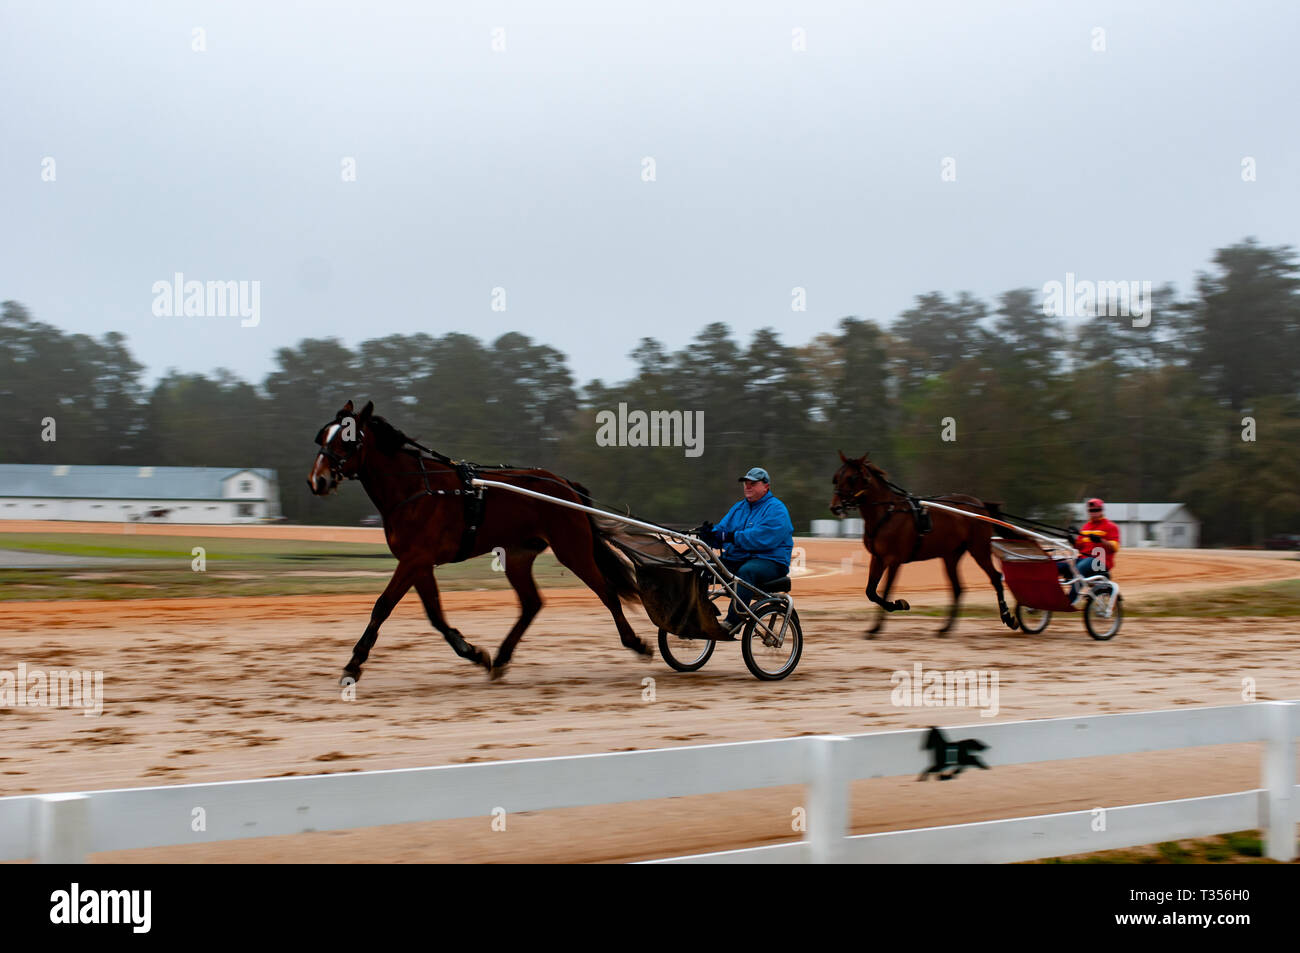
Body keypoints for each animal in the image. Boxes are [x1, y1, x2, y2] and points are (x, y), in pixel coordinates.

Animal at [304, 397, 650, 681]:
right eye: (323, 437)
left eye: (348, 439)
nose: (317, 480)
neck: (415, 489)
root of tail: (565, 484)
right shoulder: (419, 563)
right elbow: (435, 615)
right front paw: (473, 652)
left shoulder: (415, 559)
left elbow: (383, 605)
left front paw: (353, 664)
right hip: (518, 554)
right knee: (531, 603)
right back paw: (502, 657)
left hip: (572, 548)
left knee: (606, 591)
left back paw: (636, 643)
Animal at [826, 452, 1019, 634]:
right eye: (836, 477)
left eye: (852, 478)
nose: (836, 507)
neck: (887, 513)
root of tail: (980, 504)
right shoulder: (878, 558)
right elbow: (871, 592)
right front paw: (888, 613)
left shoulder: (894, 560)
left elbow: (886, 589)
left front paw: (883, 621)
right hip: (951, 555)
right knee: (958, 588)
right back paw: (945, 628)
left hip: (979, 548)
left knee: (995, 577)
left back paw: (1008, 617)